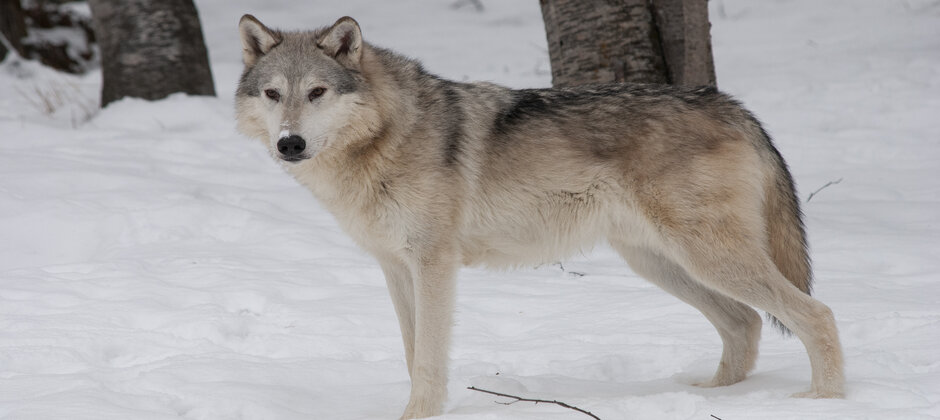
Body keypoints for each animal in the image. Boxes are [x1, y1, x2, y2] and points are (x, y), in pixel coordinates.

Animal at [234, 15, 845, 419]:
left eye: (317, 92)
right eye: (273, 94)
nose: (290, 144)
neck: (385, 136)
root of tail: (734, 106)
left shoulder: (433, 264)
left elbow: (428, 359)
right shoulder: (394, 267)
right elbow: (412, 354)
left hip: (706, 257)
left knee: (815, 313)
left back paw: (822, 401)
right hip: (661, 264)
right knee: (744, 323)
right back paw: (712, 399)